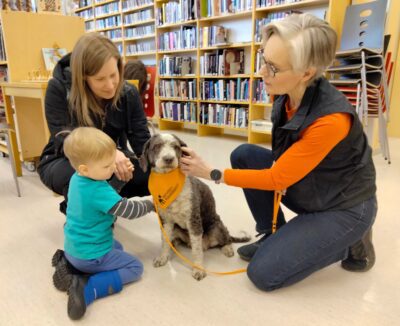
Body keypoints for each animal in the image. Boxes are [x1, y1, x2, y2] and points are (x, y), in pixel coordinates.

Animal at [140, 132, 250, 280]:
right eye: (157, 146)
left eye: (176, 147)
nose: (168, 159)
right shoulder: (166, 221)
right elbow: (165, 241)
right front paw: (163, 257)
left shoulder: (194, 221)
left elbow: (197, 250)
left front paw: (198, 269)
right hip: (177, 228)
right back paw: (175, 243)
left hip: (216, 227)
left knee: (226, 239)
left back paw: (227, 248)